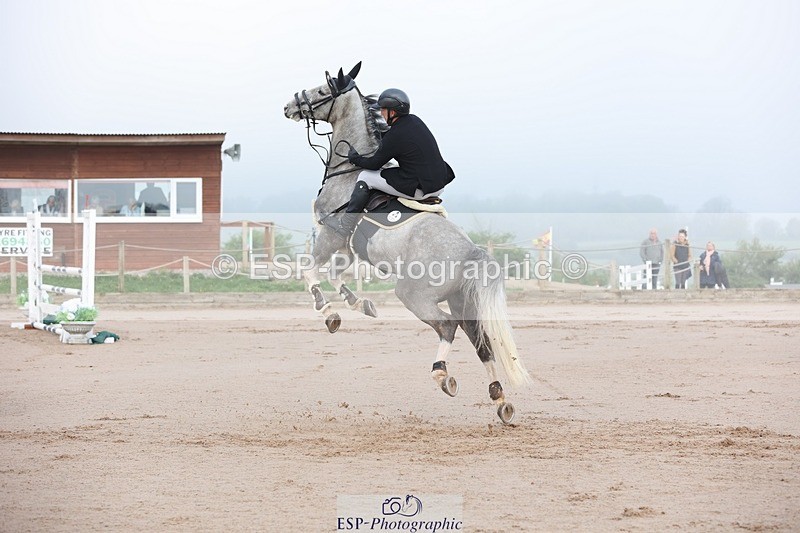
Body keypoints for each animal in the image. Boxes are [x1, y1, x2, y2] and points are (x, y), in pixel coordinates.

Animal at [283, 62, 532, 423]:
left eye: (321, 90)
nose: (288, 107)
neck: (347, 174)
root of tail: (472, 251)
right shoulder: (348, 248)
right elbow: (335, 274)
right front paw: (360, 303)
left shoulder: (332, 236)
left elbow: (310, 271)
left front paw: (328, 312)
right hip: (462, 300)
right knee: (480, 341)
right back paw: (500, 399)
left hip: (414, 295)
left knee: (446, 326)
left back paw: (442, 374)